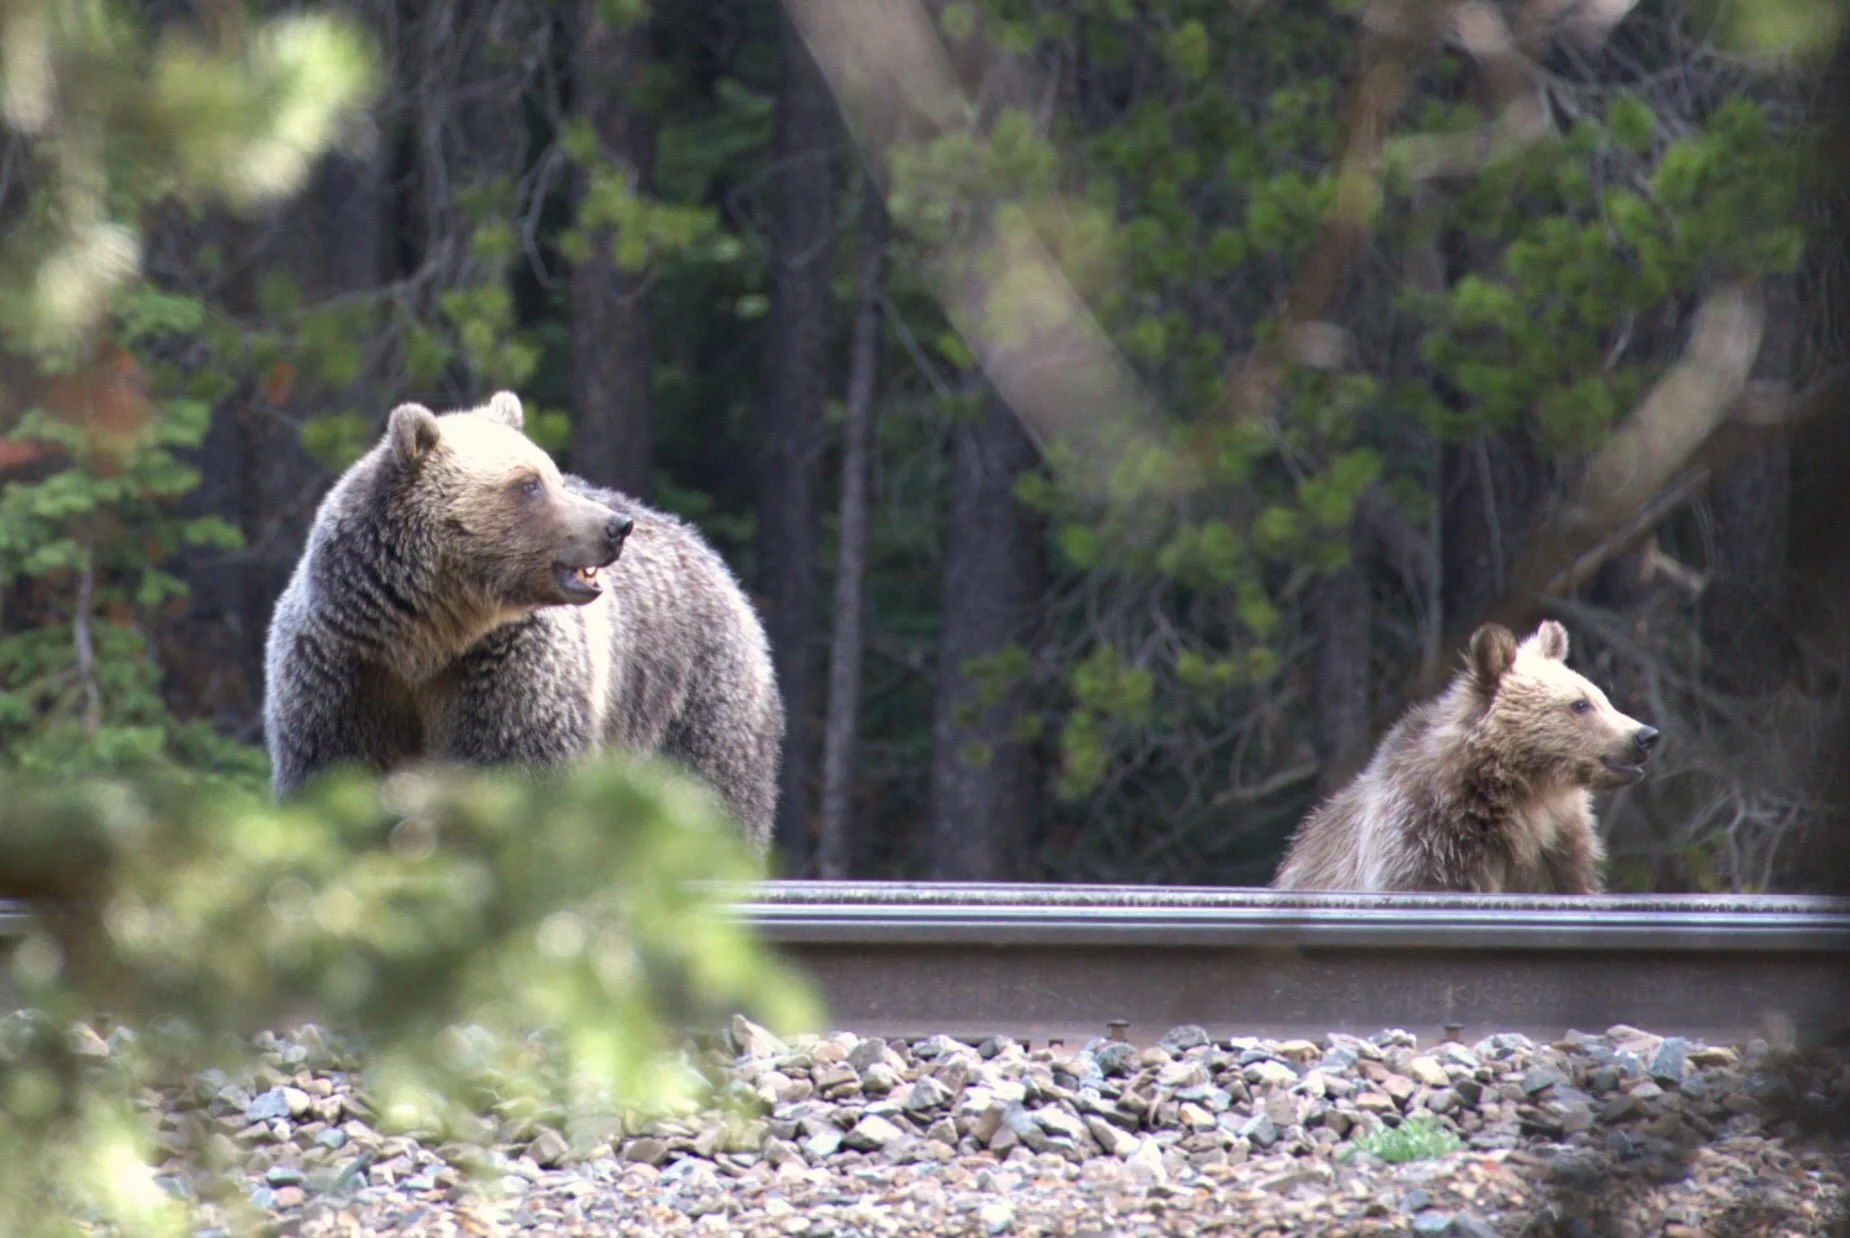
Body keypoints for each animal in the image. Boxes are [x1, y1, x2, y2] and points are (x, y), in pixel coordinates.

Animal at [262, 390, 783, 851]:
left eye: (552, 475)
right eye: (530, 483)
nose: (615, 527)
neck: (425, 636)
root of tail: (703, 547)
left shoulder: (508, 667)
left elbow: (518, 763)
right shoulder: (345, 668)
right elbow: (337, 764)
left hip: (690, 686)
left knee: (713, 783)